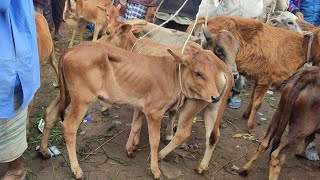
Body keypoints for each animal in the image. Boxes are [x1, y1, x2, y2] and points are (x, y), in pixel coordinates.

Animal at [38, 41, 232, 179]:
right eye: (197, 73)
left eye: (212, 73)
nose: (215, 97)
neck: (172, 74)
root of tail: (71, 49)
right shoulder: (154, 112)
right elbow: (154, 140)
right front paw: (155, 170)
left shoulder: (141, 107)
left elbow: (136, 125)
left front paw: (130, 149)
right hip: (82, 98)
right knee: (69, 126)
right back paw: (77, 169)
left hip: (67, 94)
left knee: (50, 114)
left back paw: (44, 151)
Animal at [190, 16, 320, 133]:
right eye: (290, 22)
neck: (296, 47)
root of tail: (212, 19)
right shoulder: (266, 79)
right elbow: (258, 104)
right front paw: (251, 126)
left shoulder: (259, 77)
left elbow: (253, 98)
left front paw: (247, 114)